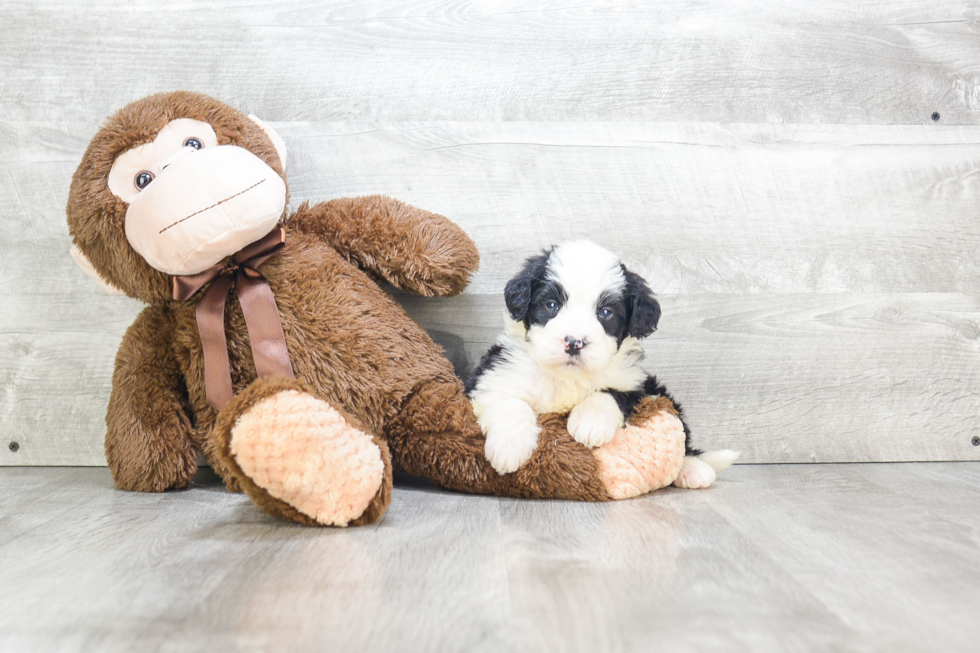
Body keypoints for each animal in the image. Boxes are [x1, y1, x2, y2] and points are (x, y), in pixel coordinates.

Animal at [468, 242, 736, 486]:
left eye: (605, 312)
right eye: (551, 305)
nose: (574, 342)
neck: (567, 377)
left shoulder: (635, 385)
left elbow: (609, 393)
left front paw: (590, 424)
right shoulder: (493, 378)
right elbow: (510, 403)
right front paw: (509, 448)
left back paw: (692, 469)